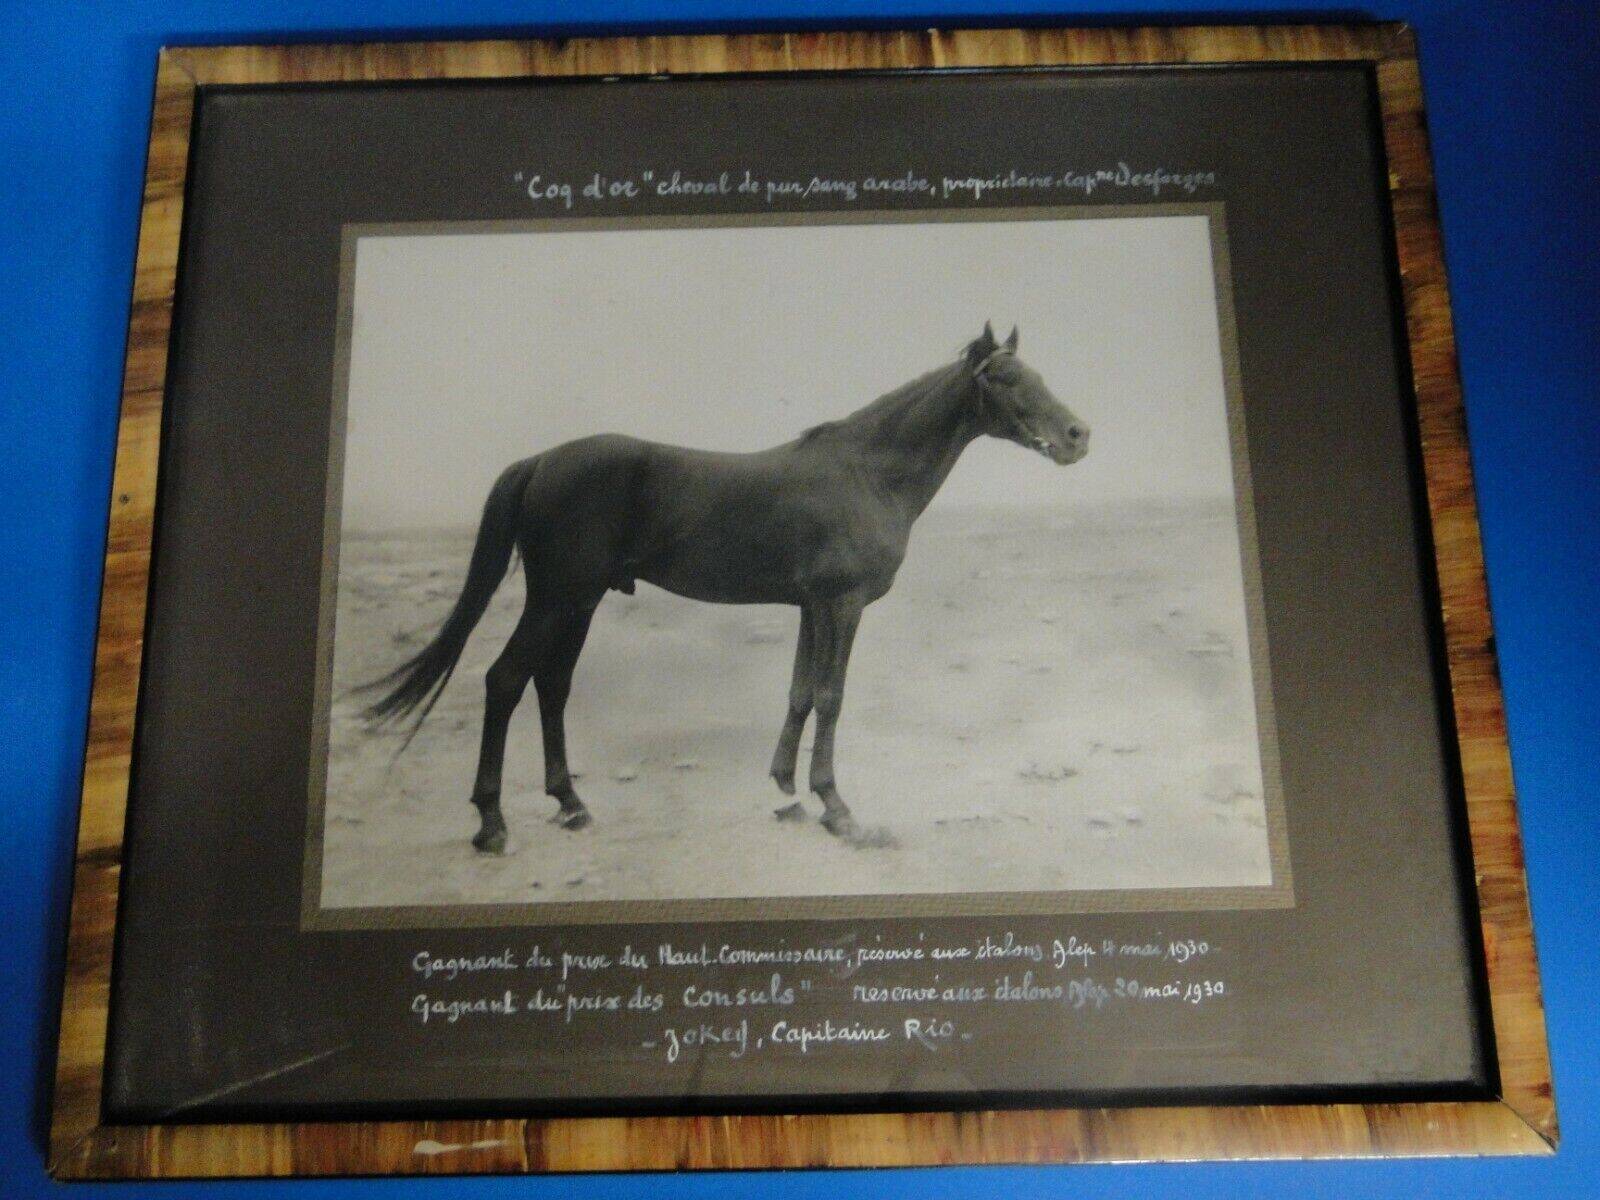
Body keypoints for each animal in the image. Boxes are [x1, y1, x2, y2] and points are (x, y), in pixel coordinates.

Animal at [361, 322, 1090, 853]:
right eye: (1006, 379)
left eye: (1038, 375)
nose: (1077, 436)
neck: (869, 473)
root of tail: (539, 462)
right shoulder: (842, 605)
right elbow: (831, 697)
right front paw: (838, 809)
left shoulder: (810, 607)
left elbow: (800, 692)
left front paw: (786, 787)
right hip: (555, 601)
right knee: (506, 681)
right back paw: (492, 824)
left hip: (579, 603)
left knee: (552, 686)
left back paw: (571, 804)